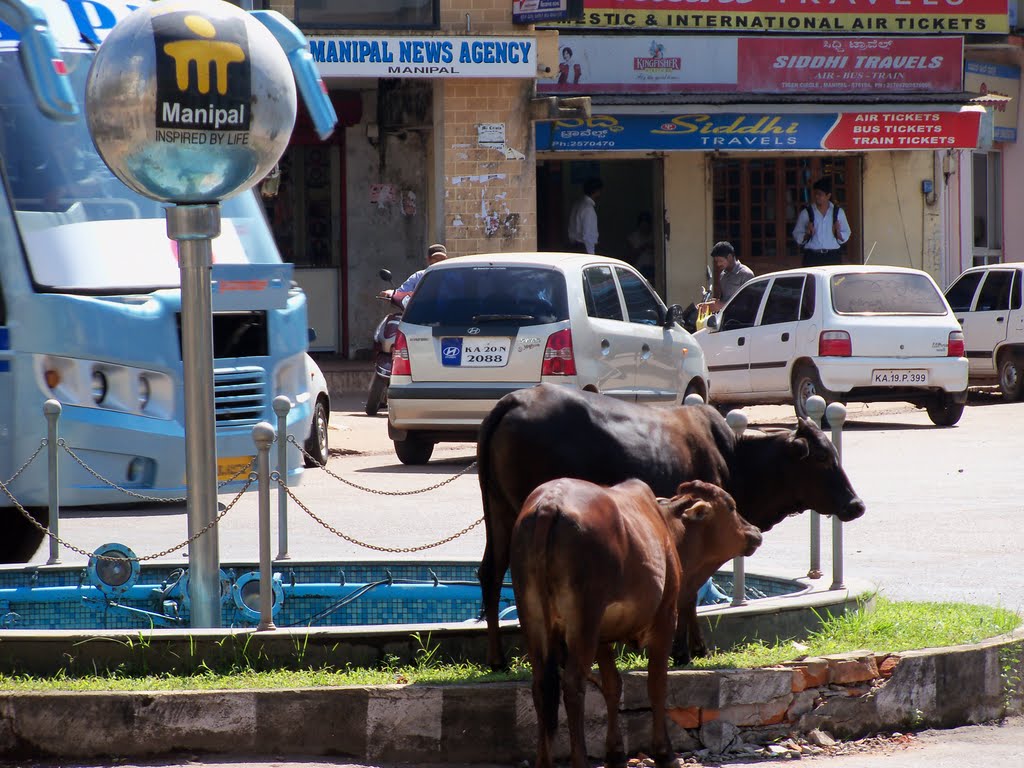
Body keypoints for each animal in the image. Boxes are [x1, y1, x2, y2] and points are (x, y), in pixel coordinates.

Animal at [475, 387, 860, 671]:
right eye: (822, 457)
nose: (856, 504)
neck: (736, 458)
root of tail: (515, 399)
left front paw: (693, 647)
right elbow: (689, 590)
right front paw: (688, 650)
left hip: (500, 513)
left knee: (491, 573)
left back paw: (497, 659)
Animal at [512, 479, 761, 765]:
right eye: (731, 506)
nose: (755, 531)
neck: (669, 529)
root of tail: (549, 504)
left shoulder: (603, 635)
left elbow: (613, 685)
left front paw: (615, 752)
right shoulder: (666, 616)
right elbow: (657, 684)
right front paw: (664, 752)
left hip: (533, 618)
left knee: (542, 685)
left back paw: (544, 761)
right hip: (584, 619)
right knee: (573, 684)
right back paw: (581, 760)